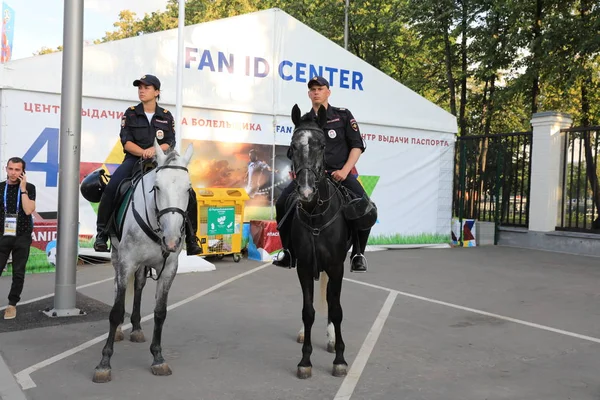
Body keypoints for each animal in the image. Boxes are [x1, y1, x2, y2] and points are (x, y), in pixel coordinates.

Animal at [93, 141, 195, 384]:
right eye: (156, 187)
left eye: (188, 189)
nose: (172, 240)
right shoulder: (126, 262)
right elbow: (116, 311)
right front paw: (104, 363)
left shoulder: (168, 269)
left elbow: (160, 312)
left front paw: (158, 358)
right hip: (117, 256)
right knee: (117, 287)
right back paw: (120, 331)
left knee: (139, 286)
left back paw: (137, 328)